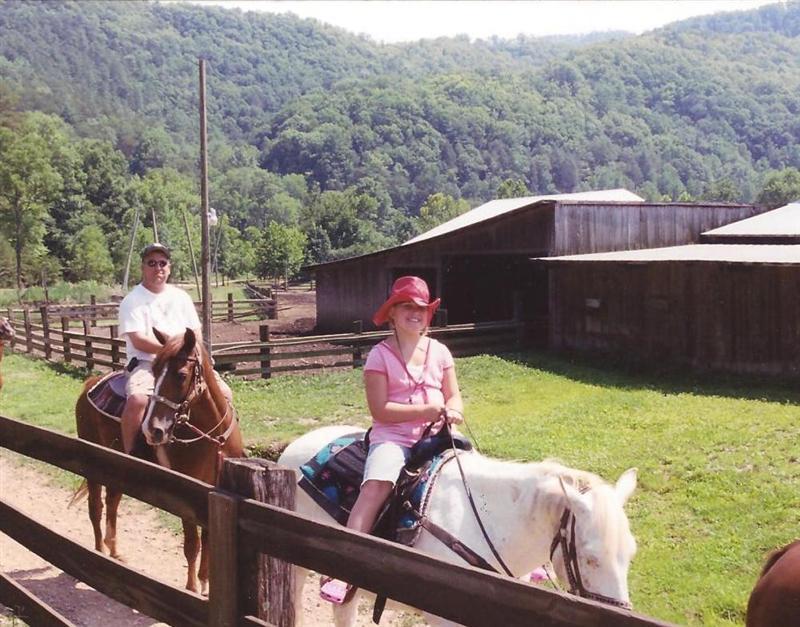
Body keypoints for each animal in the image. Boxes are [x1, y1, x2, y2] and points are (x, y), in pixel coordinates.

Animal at [75, 327, 244, 594]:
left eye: (181, 374)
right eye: (154, 371)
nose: (153, 430)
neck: (212, 438)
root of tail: (89, 386)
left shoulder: (213, 493)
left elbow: (209, 541)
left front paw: (206, 584)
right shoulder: (186, 496)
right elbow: (192, 544)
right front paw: (192, 588)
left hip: (116, 466)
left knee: (112, 502)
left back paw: (114, 552)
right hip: (92, 462)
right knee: (96, 507)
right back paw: (99, 552)